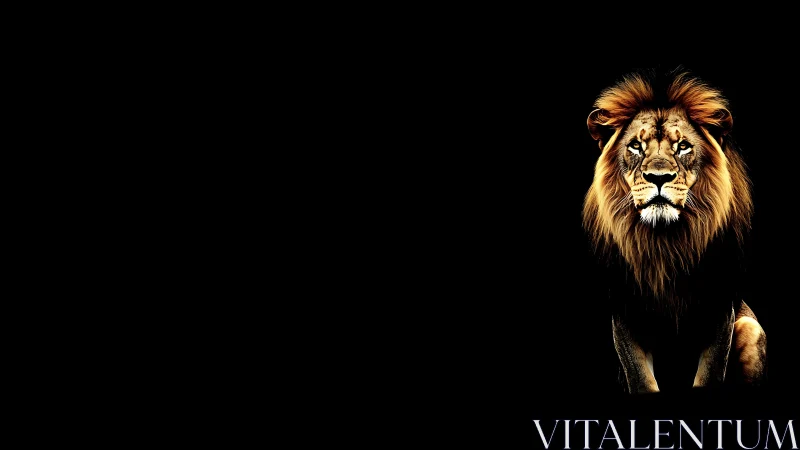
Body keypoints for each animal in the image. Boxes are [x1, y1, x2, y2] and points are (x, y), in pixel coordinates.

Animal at [583, 69, 766, 393]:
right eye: (636, 146)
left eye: (682, 147)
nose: (659, 177)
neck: (664, 243)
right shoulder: (625, 314)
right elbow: (641, 379)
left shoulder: (720, 311)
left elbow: (709, 375)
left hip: (750, 326)